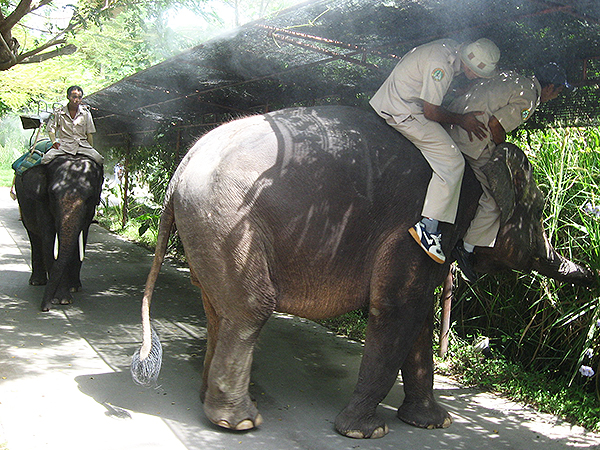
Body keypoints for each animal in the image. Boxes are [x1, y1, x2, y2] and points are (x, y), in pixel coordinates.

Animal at [14, 153, 103, 312]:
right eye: (53, 195)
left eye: (89, 198)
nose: (44, 308)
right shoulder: (42, 202)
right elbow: (49, 241)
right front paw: (61, 299)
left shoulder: (90, 211)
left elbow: (80, 240)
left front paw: (73, 290)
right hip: (24, 206)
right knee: (34, 237)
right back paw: (37, 282)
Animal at [131, 106, 596, 440]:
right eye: (539, 211)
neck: (473, 161)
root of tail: (183, 165)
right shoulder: (414, 230)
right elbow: (396, 312)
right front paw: (366, 432)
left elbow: (419, 320)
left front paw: (433, 423)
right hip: (227, 224)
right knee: (250, 310)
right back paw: (240, 423)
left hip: (207, 229)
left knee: (220, 311)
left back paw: (211, 402)